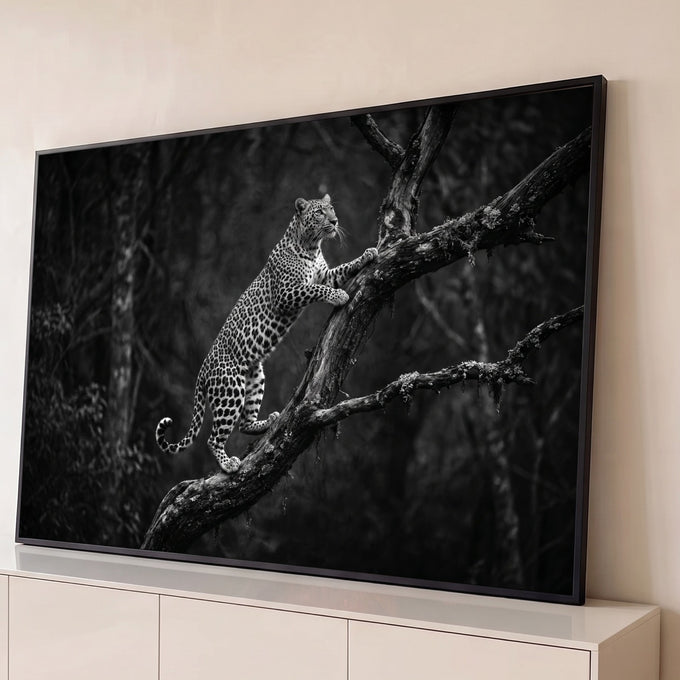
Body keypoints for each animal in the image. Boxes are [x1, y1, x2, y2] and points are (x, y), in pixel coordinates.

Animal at [155, 194, 378, 473]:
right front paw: (339, 296)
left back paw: (269, 420)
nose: (335, 221)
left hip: (255, 377)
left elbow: (343, 269)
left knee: (243, 423)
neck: (311, 246)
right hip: (230, 389)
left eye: (331, 208)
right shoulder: (288, 293)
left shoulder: (325, 274)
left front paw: (367, 254)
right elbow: (315, 289)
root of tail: (202, 371)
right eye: (319, 212)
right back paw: (228, 464)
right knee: (212, 438)